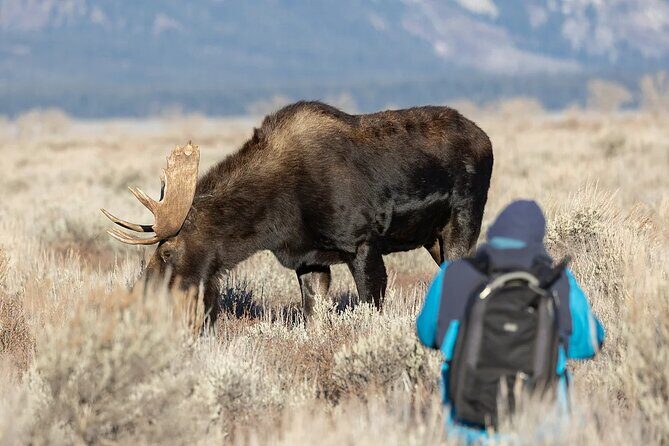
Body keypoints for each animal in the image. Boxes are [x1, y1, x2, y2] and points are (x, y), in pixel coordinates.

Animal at [102, 101, 493, 326]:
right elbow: (313, 317)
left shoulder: (363, 243)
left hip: (463, 222)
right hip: (432, 238)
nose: (143, 294)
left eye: (168, 251)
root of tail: (486, 140)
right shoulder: (309, 258)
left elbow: (371, 310)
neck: (274, 218)